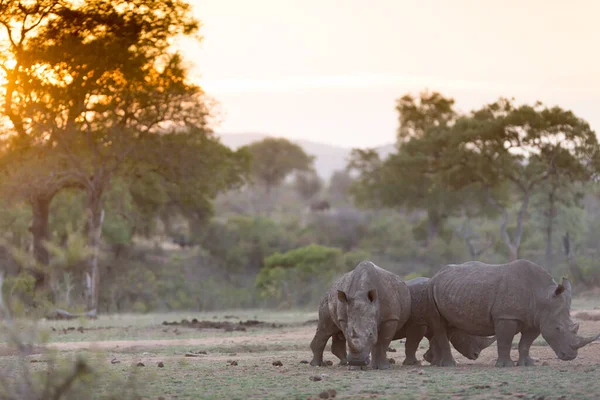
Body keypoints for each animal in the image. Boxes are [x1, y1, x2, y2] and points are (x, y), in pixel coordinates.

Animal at [426, 260, 600, 368]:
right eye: (557, 328)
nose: (571, 356)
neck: (542, 296)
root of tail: (437, 273)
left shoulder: (535, 319)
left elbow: (526, 343)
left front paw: (528, 364)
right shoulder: (506, 316)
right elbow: (505, 341)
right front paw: (505, 366)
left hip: (452, 288)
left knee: (448, 326)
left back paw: (437, 362)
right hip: (431, 288)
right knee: (440, 325)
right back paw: (448, 365)